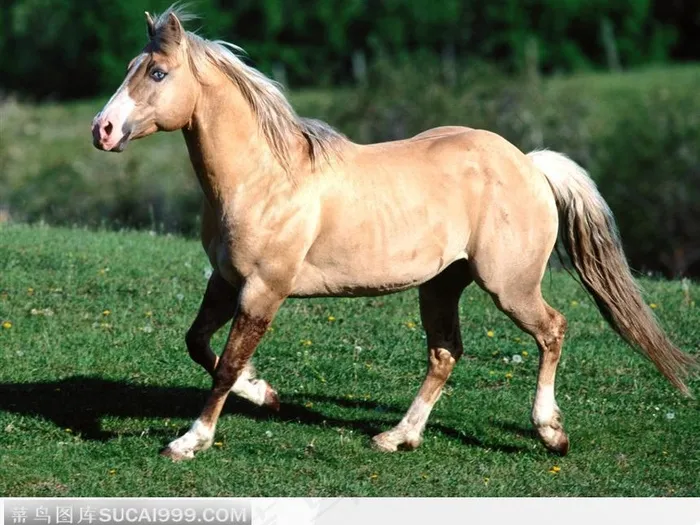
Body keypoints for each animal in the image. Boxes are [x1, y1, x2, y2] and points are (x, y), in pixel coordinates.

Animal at [91, 6, 696, 461]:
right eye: (131, 66)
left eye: (157, 74)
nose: (102, 130)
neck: (264, 178)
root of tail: (528, 163)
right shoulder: (224, 281)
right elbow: (198, 345)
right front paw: (267, 396)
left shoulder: (264, 290)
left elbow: (224, 367)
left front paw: (190, 441)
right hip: (442, 284)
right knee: (445, 353)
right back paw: (398, 437)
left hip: (510, 285)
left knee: (552, 330)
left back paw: (550, 433)